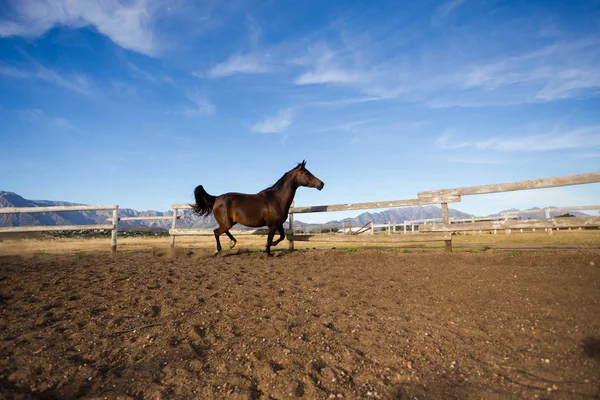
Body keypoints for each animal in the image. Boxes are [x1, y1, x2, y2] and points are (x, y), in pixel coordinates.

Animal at [191, 160, 324, 256]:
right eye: (307, 173)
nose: (321, 184)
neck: (277, 198)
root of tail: (216, 198)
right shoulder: (272, 225)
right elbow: (270, 238)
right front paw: (268, 252)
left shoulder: (278, 224)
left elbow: (281, 236)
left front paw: (271, 246)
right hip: (227, 223)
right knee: (216, 232)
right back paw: (218, 250)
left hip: (230, 222)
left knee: (222, 231)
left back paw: (232, 243)